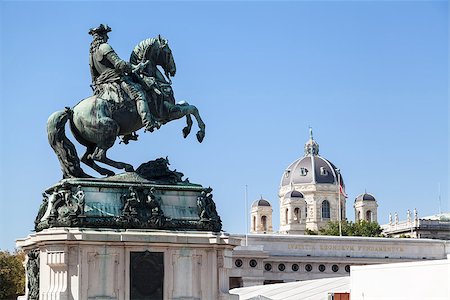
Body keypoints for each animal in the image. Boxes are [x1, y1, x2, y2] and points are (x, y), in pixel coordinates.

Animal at [47, 35, 206, 178]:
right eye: (168, 52)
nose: (173, 70)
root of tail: (73, 111)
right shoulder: (167, 112)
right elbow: (192, 108)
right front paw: (199, 133)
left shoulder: (170, 109)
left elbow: (187, 104)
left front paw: (187, 129)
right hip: (110, 129)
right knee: (98, 155)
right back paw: (125, 167)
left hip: (91, 141)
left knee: (87, 158)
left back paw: (104, 173)